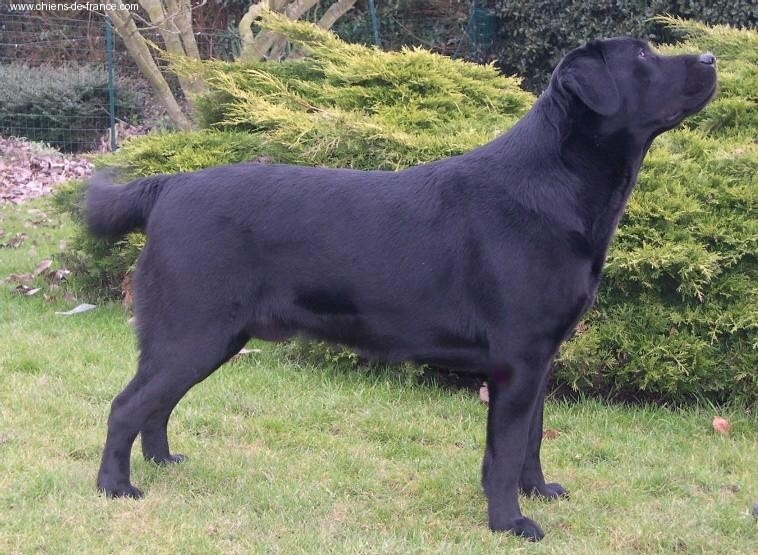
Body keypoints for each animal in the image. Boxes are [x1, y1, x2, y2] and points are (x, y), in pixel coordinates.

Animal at [89, 38, 720, 540]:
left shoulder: (541, 358)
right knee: (125, 406)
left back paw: (164, 462)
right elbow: (505, 452)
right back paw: (116, 487)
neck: (555, 185)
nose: (712, 57)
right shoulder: (516, 361)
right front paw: (510, 523)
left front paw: (538, 492)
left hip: (205, 338)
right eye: (644, 57)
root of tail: (168, 186)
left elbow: (534, 441)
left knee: (155, 405)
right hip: (193, 331)